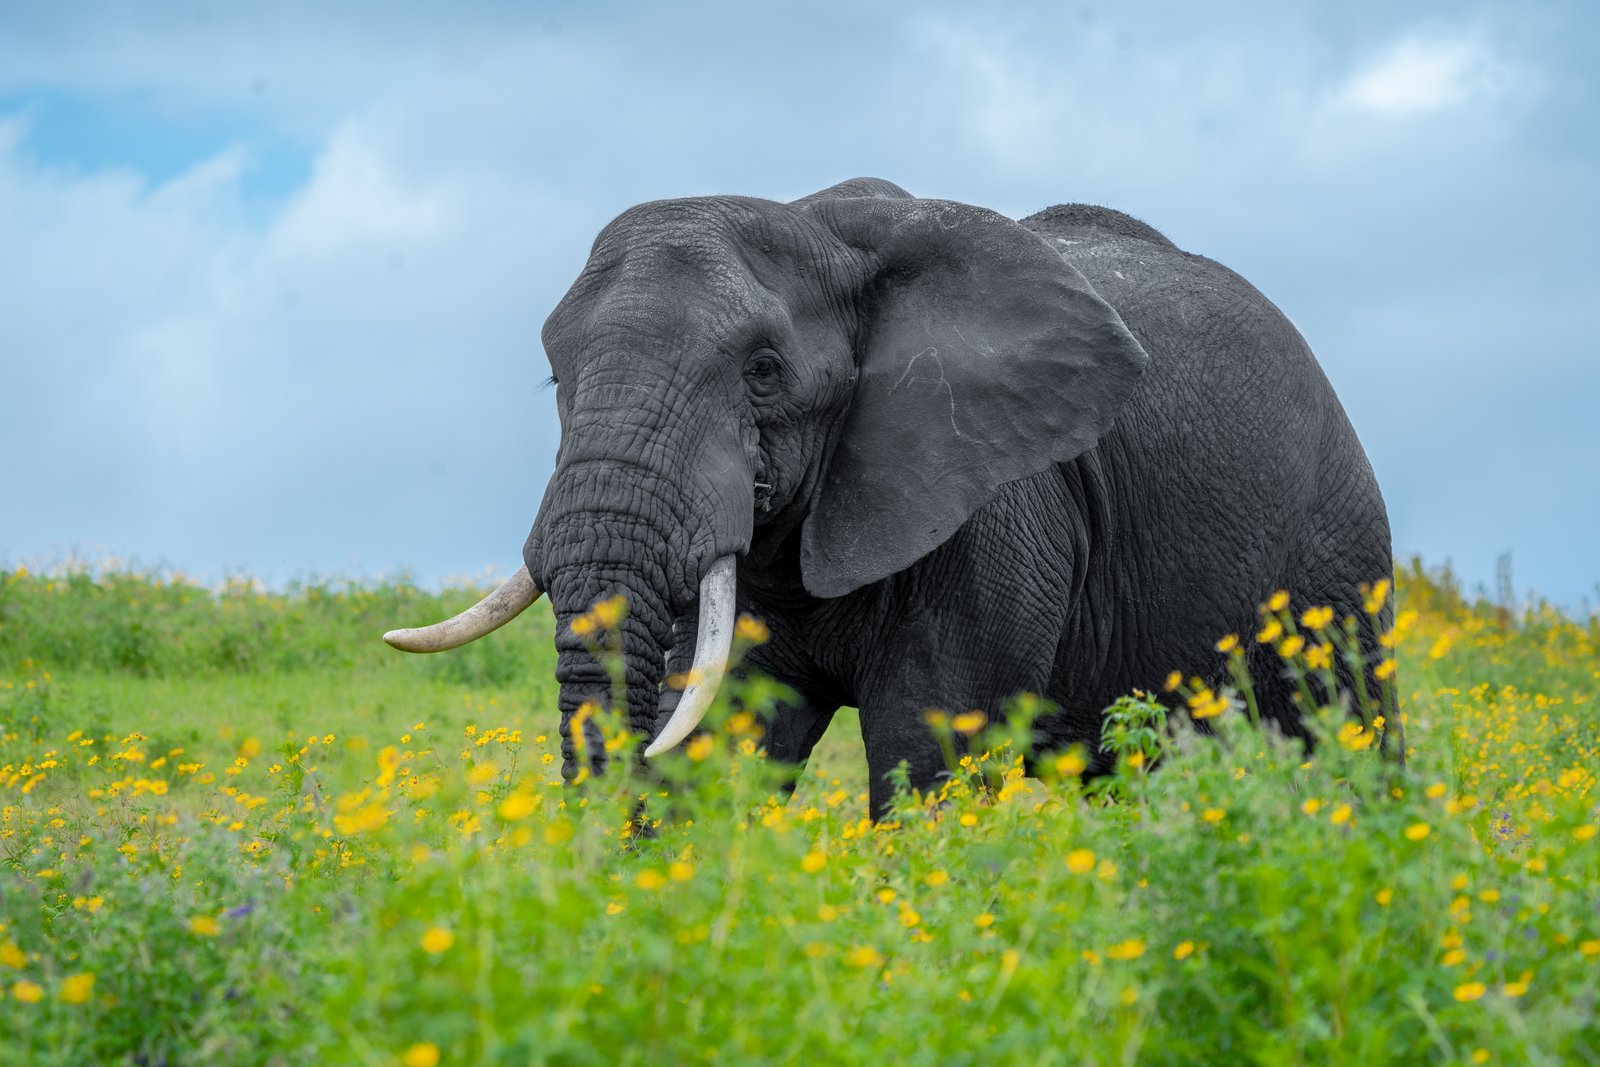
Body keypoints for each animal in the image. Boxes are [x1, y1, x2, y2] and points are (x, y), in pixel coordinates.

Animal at [384, 177, 1393, 819]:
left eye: (763, 372)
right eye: (556, 376)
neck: (826, 232)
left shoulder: (995, 499)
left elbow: (926, 742)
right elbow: (730, 729)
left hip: (1334, 553)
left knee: (1348, 738)